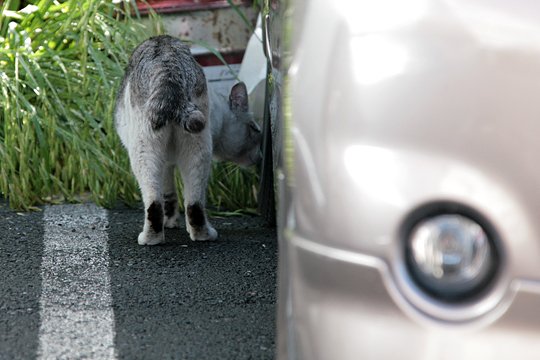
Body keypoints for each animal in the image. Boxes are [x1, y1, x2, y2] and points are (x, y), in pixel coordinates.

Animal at [114, 35, 262, 245]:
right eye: (255, 130)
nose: (261, 157)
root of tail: (167, 67)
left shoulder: (166, 164)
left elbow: (168, 194)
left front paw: (170, 222)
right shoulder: (170, 161)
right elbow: (171, 195)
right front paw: (172, 222)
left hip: (144, 152)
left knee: (154, 201)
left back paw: (151, 238)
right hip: (197, 150)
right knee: (193, 203)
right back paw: (200, 235)